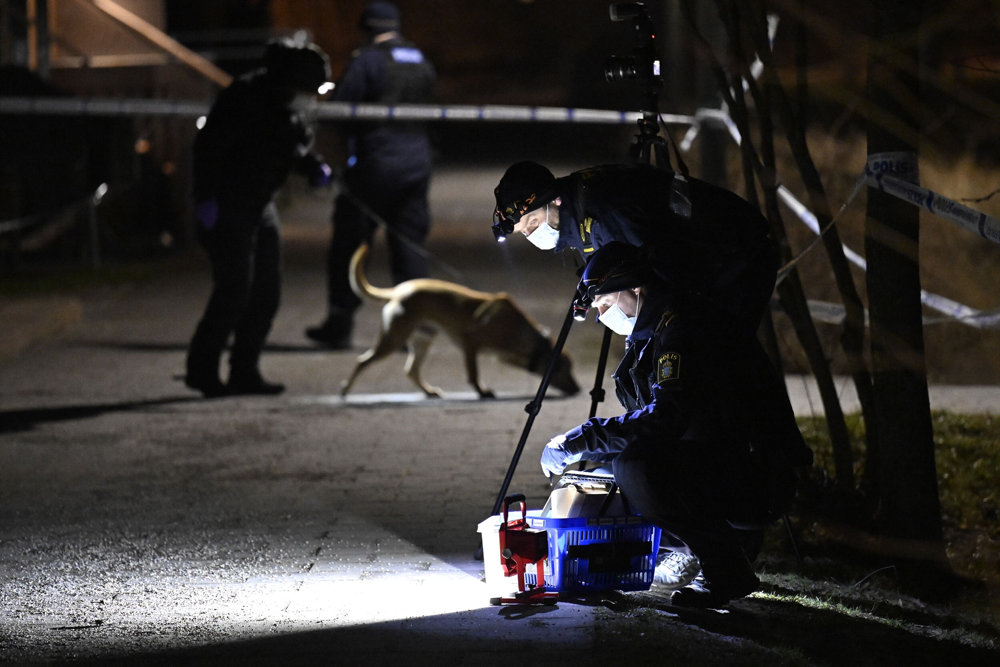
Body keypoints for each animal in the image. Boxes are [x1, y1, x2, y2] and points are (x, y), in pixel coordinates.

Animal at [342, 247, 584, 400]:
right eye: (564, 369)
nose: (579, 389)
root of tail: (399, 290)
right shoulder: (470, 343)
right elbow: (474, 374)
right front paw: (482, 392)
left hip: (423, 339)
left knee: (411, 370)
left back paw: (428, 391)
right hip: (393, 339)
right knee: (362, 361)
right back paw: (345, 389)